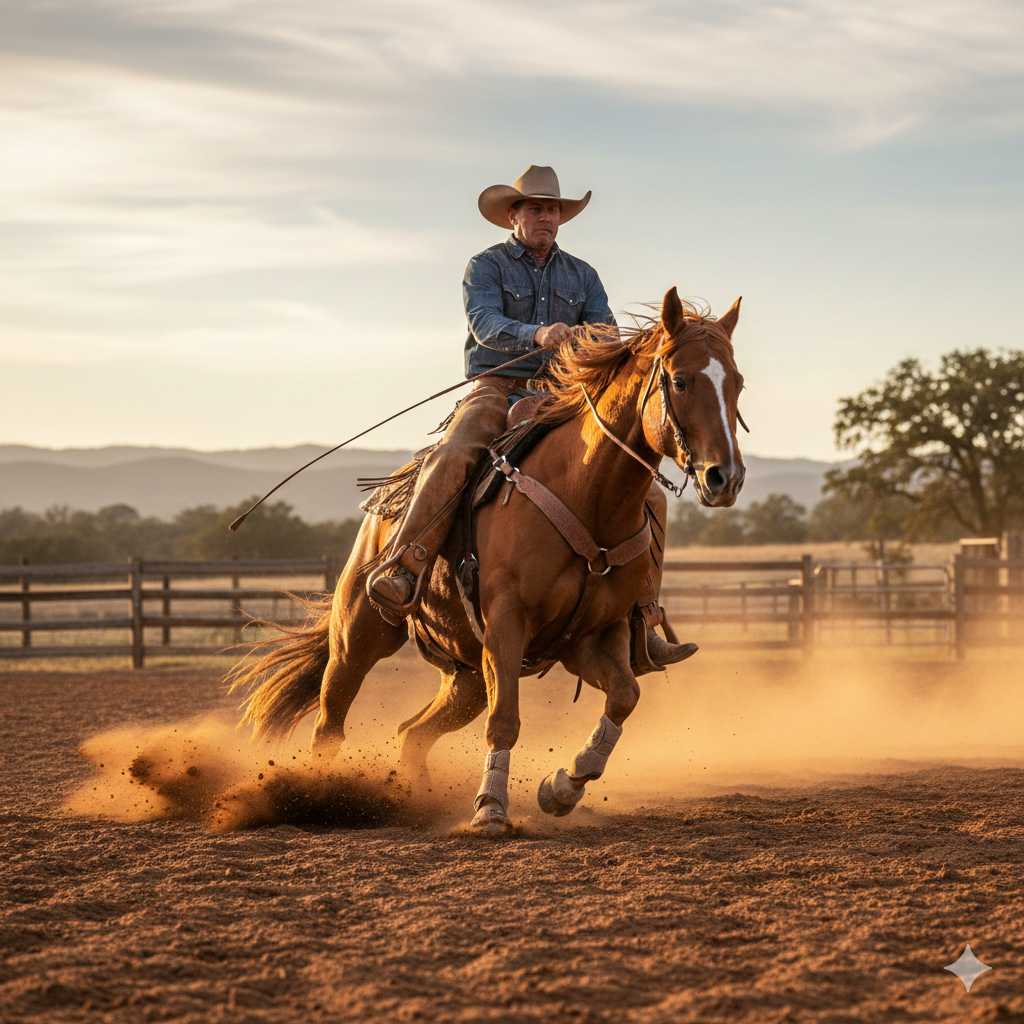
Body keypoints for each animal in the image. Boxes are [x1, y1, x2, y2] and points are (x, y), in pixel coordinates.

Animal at [227, 286, 745, 833]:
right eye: (681, 380)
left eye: (737, 383)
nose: (725, 478)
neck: (586, 494)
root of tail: (383, 512)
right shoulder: (506, 625)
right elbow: (506, 722)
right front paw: (491, 810)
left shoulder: (591, 637)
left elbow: (625, 697)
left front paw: (561, 788)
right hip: (359, 637)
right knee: (330, 723)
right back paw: (320, 795)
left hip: (468, 675)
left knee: (412, 732)